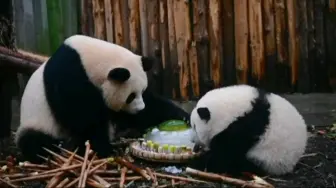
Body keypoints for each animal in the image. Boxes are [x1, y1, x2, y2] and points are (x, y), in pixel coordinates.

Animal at [16, 35, 156, 163]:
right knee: (33, 140)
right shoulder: (68, 76)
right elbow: (81, 117)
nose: (140, 109)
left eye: (142, 91)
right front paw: (103, 148)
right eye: (130, 96)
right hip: (36, 122)